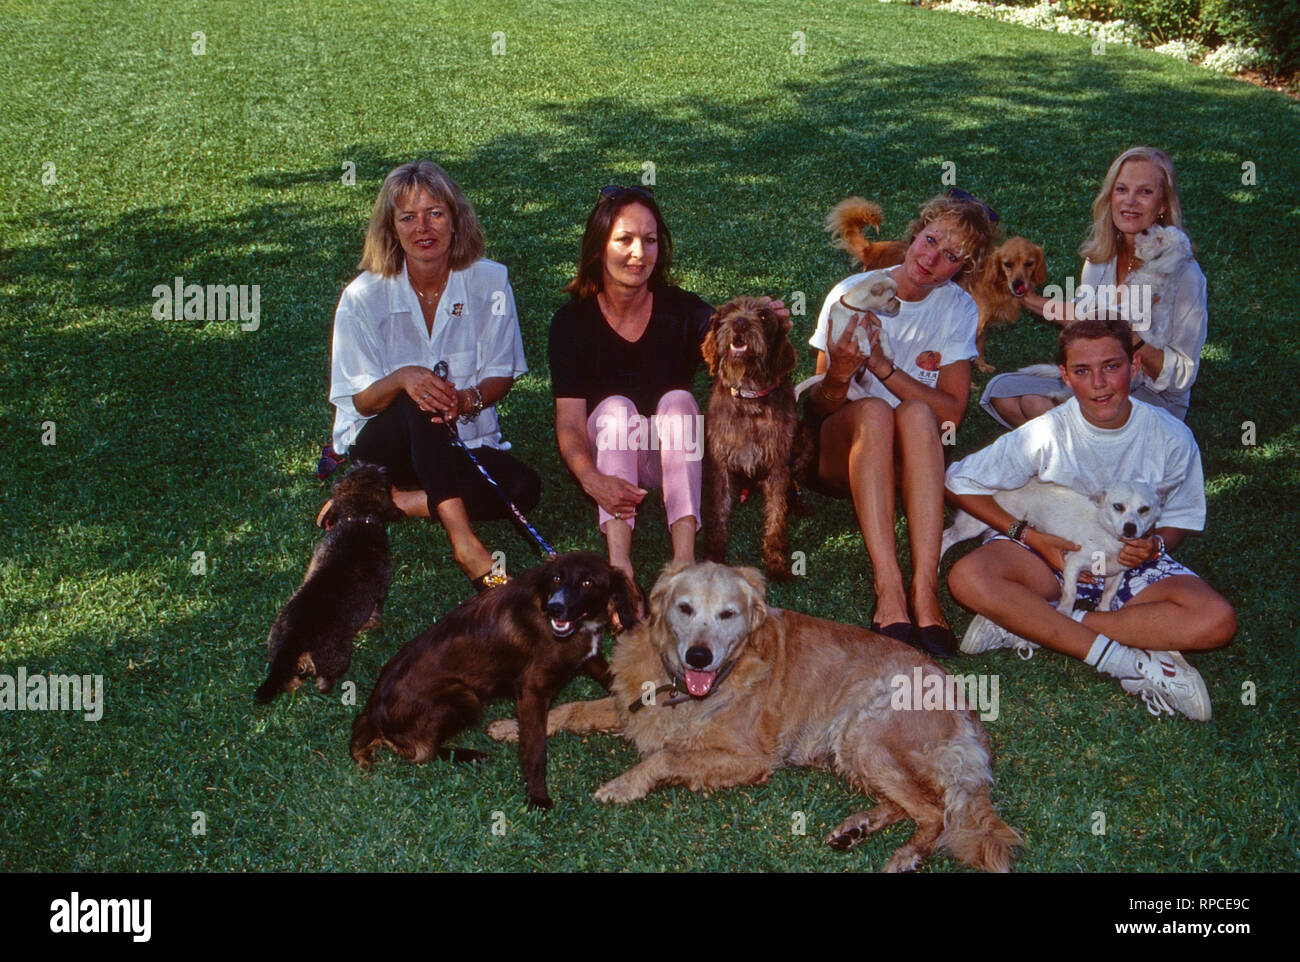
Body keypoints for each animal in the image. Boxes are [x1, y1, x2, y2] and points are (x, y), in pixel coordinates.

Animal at [250, 465, 397, 707]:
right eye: (379, 475)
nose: (383, 467)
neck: (358, 518)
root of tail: (296, 637)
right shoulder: (381, 588)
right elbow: (377, 610)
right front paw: (373, 625)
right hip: (337, 657)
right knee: (325, 681)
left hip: (276, 649)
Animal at [351, 551, 639, 806]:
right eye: (557, 578)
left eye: (588, 582)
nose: (555, 608)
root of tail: (371, 712)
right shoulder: (533, 689)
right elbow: (535, 748)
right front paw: (538, 798)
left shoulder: (590, 657)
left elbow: (615, 678)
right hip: (464, 695)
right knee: (420, 752)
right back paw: (468, 754)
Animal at [491, 564, 1019, 873]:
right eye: (684, 608)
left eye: (728, 614)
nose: (699, 656)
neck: (685, 690)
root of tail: (968, 710)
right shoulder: (631, 704)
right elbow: (571, 708)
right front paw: (514, 727)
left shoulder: (749, 760)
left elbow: (665, 757)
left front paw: (623, 784)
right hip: (854, 748)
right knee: (911, 805)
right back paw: (857, 827)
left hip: (865, 733)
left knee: (935, 812)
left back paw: (906, 855)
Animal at [707, 295, 806, 579]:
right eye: (730, 311)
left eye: (764, 316)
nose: (739, 323)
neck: (750, 397)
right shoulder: (720, 463)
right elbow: (718, 513)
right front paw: (714, 557)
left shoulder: (778, 465)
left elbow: (776, 517)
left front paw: (776, 562)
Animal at [832, 195, 1045, 371]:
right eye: (1007, 264)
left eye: (1029, 264)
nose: (1018, 284)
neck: (995, 284)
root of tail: (871, 248)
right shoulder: (977, 324)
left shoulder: (981, 325)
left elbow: (980, 347)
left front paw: (982, 365)